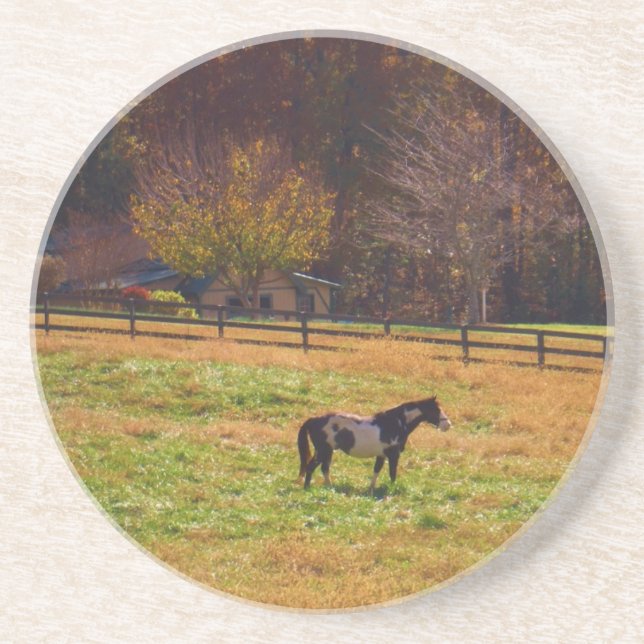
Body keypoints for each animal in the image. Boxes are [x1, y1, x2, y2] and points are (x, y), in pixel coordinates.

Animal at [297, 396, 451, 493]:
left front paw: (371, 489)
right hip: (322, 451)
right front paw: (392, 490)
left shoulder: (381, 455)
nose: (448, 425)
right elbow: (392, 474)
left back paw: (329, 487)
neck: (395, 423)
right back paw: (307, 489)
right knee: (311, 468)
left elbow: (376, 471)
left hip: (327, 452)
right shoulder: (393, 455)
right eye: (436, 410)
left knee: (324, 469)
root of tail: (313, 419)